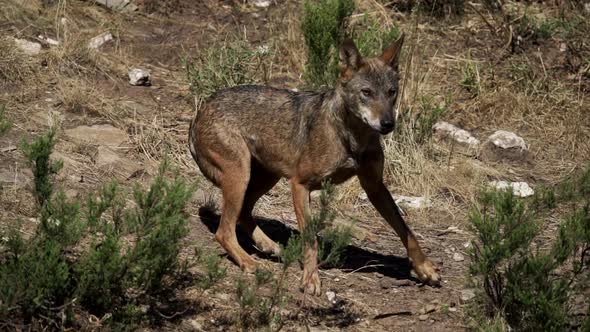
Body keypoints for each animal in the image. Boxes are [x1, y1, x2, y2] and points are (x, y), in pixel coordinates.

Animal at [188, 33, 440, 294]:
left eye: (392, 92)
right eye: (366, 92)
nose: (388, 123)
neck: (352, 138)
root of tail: (200, 110)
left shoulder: (375, 187)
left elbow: (405, 229)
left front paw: (424, 268)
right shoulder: (300, 185)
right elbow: (310, 237)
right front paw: (310, 278)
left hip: (266, 178)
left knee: (244, 214)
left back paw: (269, 246)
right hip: (241, 176)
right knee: (224, 231)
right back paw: (250, 262)